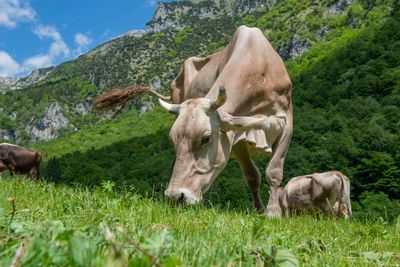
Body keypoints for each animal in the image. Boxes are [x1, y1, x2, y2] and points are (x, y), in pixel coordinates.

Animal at [94, 25, 294, 218]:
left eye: (206, 138)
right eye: (171, 140)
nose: (175, 197)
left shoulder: (286, 121)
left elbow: (273, 171)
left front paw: (271, 212)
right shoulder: (235, 136)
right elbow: (252, 176)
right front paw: (262, 210)